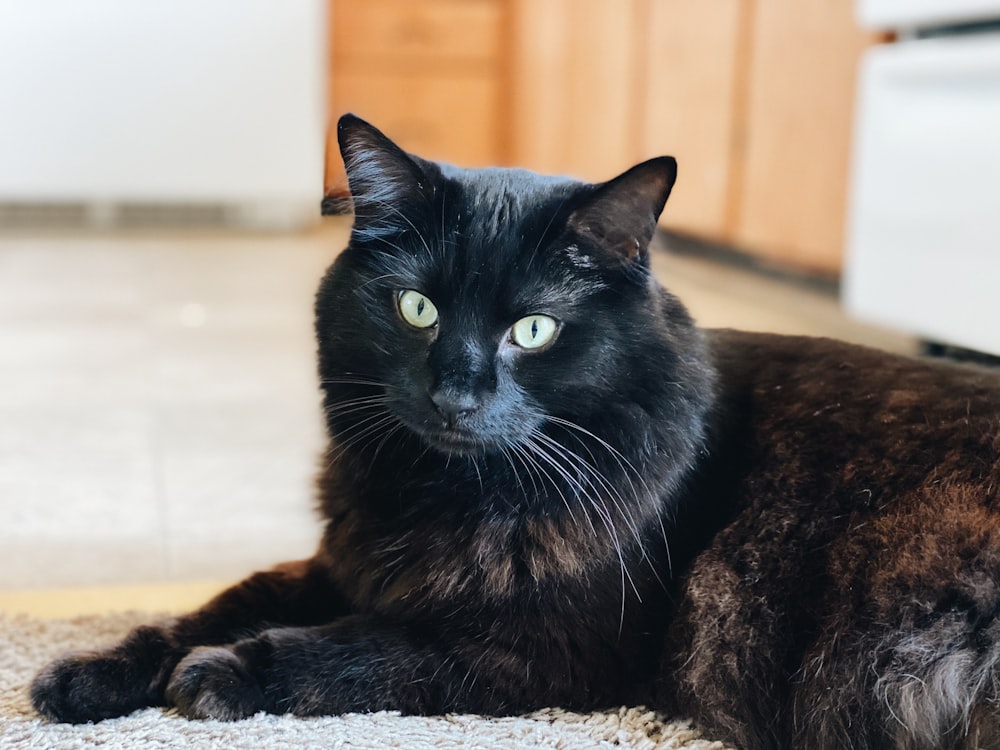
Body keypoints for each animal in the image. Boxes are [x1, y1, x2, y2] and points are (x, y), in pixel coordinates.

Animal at [29, 113, 1000, 750]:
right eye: (415, 308)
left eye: (532, 330)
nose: (456, 393)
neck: (441, 494)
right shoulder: (346, 561)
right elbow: (218, 602)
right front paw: (90, 671)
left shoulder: (528, 651)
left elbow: (355, 650)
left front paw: (220, 673)